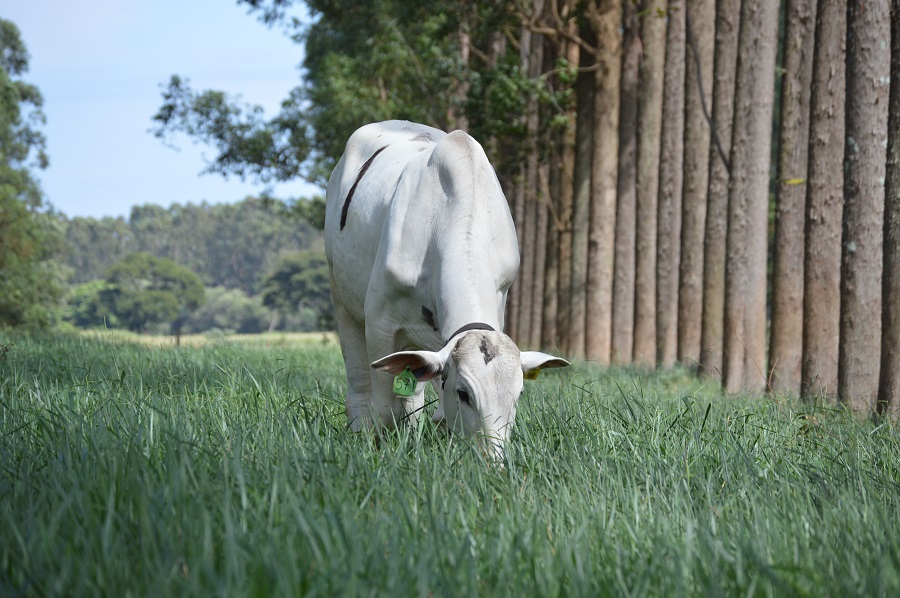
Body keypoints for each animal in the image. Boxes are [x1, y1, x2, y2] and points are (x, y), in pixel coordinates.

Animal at [324, 122, 568, 460]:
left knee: (411, 395)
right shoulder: (380, 323)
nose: (494, 461)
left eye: (518, 393)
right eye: (463, 393)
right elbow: (384, 408)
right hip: (341, 298)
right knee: (359, 385)